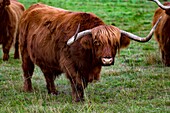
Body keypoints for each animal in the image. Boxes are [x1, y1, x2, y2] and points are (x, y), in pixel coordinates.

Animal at [19, 3, 161, 102]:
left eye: (115, 43)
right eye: (97, 42)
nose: (107, 60)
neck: (88, 58)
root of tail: (32, 8)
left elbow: (83, 83)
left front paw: (81, 97)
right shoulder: (69, 64)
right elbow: (77, 82)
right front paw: (77, 99)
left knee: (47, 74)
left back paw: (53, 92)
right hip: (24, 52)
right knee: (27, 71)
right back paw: (28, 90)